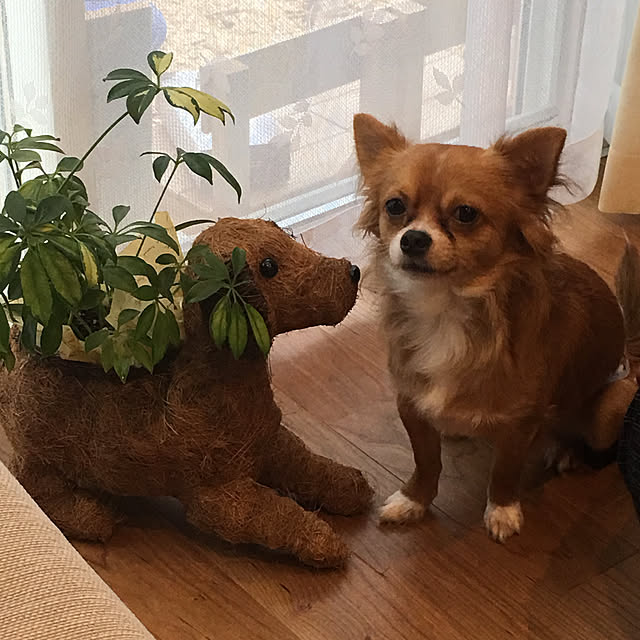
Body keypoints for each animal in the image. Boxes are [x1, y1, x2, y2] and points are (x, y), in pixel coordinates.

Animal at [352, 114, 636, 540]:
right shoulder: (412, 404)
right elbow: (426, 461)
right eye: (395, 206)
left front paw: (502, 511)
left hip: (611, 408)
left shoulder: (521, 421)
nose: (413, 238)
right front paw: (413, 500)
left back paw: (565, 450)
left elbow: (505, 469)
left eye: (466, 213)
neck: (447, 308)